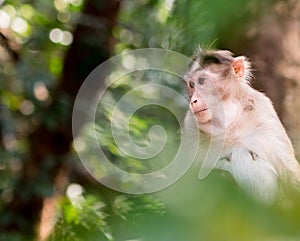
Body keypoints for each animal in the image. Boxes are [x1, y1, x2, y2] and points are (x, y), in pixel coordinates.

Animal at [184, 49, 300, 205]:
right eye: (191, 85)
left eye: (202, 81)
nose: (193, 101)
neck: (229, 122)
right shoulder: (190, 124)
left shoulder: (264, 110)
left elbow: (290, 176)